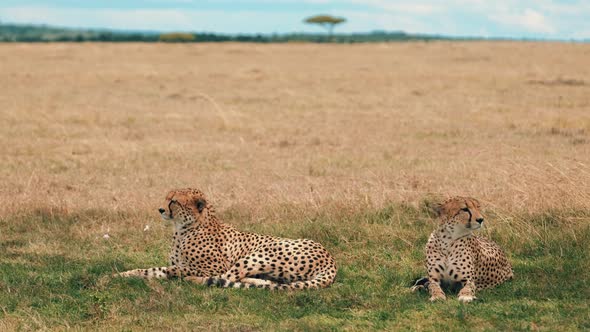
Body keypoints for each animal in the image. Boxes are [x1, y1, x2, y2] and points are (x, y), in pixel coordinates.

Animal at [117, 188, 338, 290]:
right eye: (166, 198)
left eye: (174, 201)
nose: (161, 209)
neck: (184, 229)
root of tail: (330, 259)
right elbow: (152, 269)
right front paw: (121, 275)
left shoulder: (215, 266)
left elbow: (178, 269)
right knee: (266, 282)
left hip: (260, 254)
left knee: (228, 278)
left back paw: (194, 280)